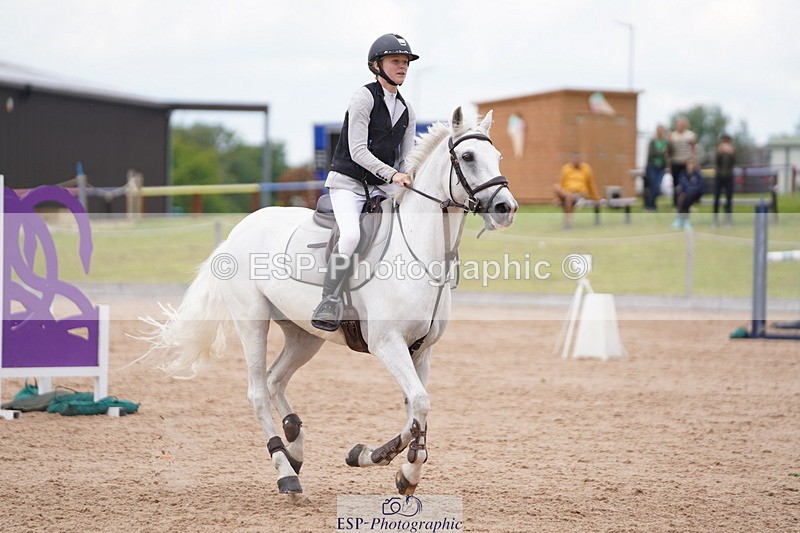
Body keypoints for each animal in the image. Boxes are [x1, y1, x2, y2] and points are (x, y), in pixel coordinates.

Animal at [140, 106, 518, 500]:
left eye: (497, 156)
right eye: (468, 156)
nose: (506, 208)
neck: (418, 251)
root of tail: (237, 232)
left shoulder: (420, 350)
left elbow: (415, 409)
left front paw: (378, 459)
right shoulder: (387, 344)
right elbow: (420, 403)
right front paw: (404, 470)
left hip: (304, 335)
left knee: (276, 379)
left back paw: (295, 443)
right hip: (252, 322)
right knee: (258, 391)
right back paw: (285, 471)